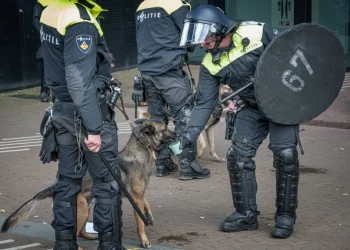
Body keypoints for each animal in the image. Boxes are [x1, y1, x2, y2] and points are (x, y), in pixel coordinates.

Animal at [0, 120, 175, 249]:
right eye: (165, 129)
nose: (177, 134)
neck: (139, 150)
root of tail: (55, 187)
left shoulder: (138, 195)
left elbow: (147, 203)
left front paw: (149, 215)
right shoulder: (136, 198)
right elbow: (140, 223)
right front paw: (144, 240)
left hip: (88, 205)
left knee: (80, 232)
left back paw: (92, 236)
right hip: (82, 210)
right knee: (73, 233)